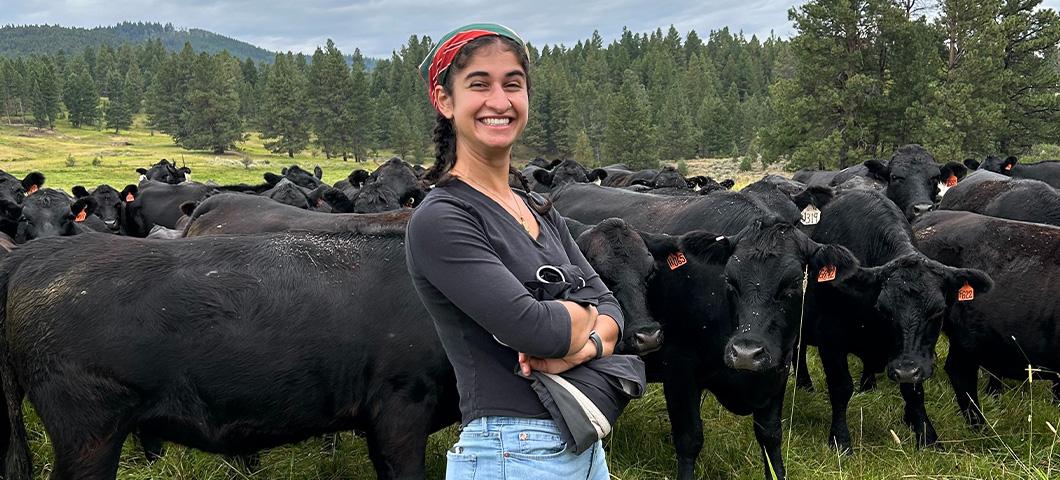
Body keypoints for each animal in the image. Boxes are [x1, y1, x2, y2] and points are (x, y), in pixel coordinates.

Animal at [551, 182, 856, 478]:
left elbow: (771, 436)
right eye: (729, 280)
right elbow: (690, 439)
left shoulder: (777, 370)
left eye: (793, 282)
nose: (746, 352)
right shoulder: (680, 370)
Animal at [801, 188, 992, 451]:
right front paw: (840, 439)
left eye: (938, 311)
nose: (904, 371)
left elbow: (914, 392)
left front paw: (927, 436)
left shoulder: (913, 357)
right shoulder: (829, 339)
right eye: (884, 310)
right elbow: (840, 387)